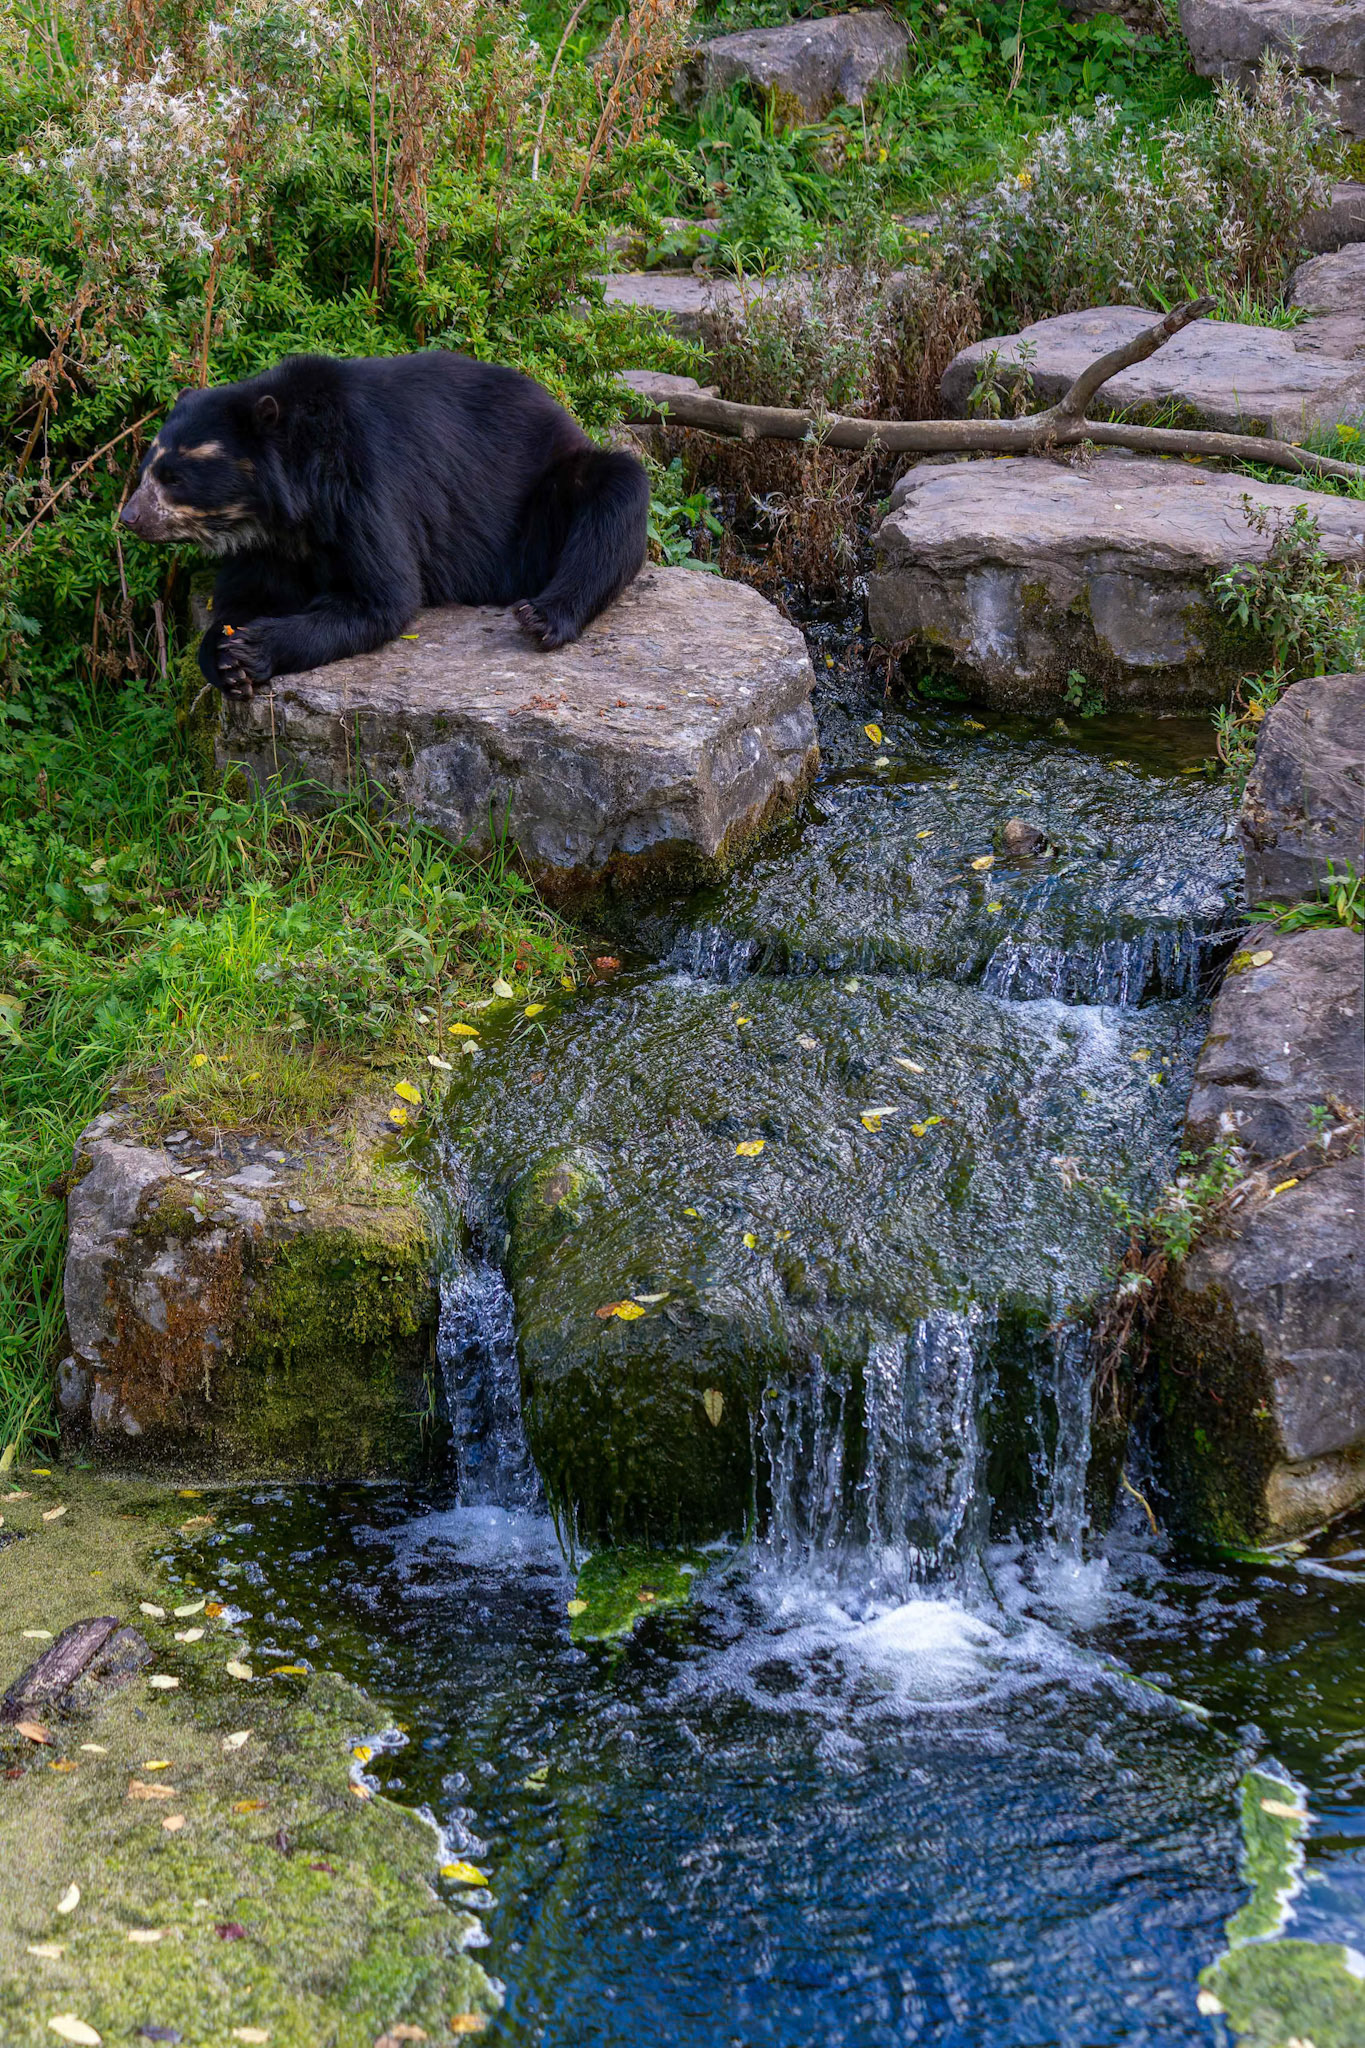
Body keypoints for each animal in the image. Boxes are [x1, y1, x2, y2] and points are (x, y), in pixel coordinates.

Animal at [119, 350, 652, 695]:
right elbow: (245, 594)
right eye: (145, 469)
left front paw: (254, 649)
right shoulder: (265, 542)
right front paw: (225, 658)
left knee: (614, 498)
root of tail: (565, 421)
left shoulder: (363, 485)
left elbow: (381, 596)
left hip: (543, 501)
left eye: (174, 477)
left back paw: (541, 616)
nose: (129, 518)